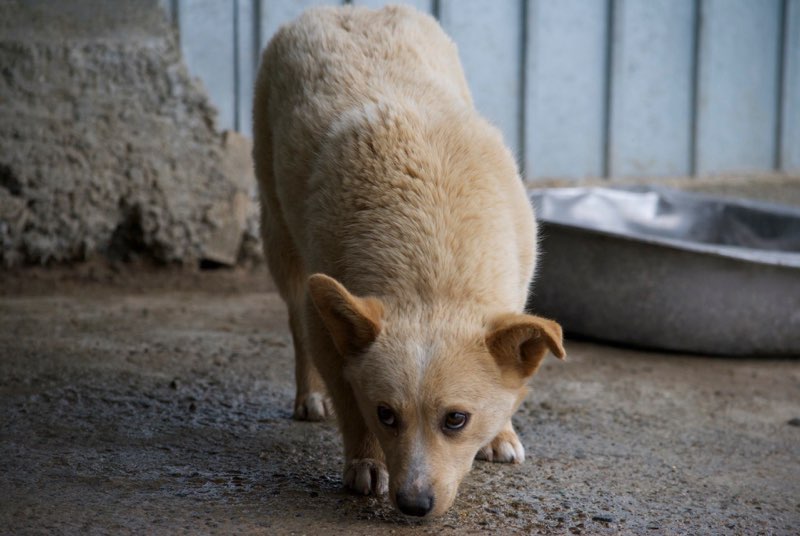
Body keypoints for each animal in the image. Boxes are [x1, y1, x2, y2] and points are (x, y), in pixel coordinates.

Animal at [253, 3, 564, 516]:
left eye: (456, 419)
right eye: (386, 414)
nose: (414, 505)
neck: (432, 264)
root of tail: (344, 10)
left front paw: (500, 433)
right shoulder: (328, 327)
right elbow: (346, 395)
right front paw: (365, 462)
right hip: (280, 238)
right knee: (295, 317)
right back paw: (308, 396)